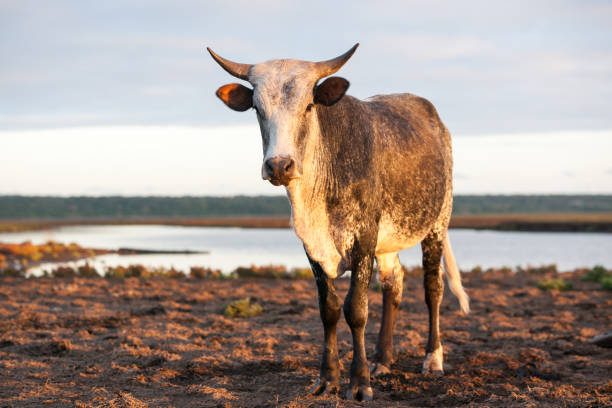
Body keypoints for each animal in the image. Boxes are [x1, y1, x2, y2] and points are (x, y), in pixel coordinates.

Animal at [208, 43, 470, 400]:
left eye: (308, 106)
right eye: (258, 109)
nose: (279, 165)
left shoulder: (364, 238)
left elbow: (356, 309)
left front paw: (359, 383)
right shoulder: (312, 246)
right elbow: (329, 309)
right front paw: (328, 379)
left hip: (437, 224)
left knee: (433, 289)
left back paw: (433, 359)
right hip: (389, 242)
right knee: (394, 285)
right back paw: (383, 360)